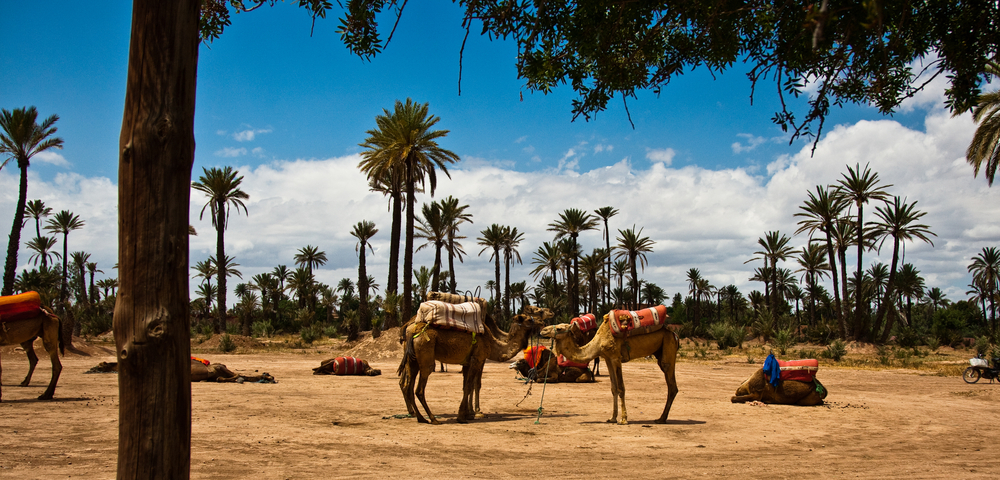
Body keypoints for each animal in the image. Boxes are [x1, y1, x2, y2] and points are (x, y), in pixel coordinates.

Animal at [540, 306, 680, 426]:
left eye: (559, 328)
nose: (543, 330)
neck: (598, 342)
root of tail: (674, 334)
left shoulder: (616, 358)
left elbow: (621, 388)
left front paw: (623, 419)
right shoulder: (607, 358)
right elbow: (613, 388)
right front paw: (612, 418)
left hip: (668, 345)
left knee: (671, 384)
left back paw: (661, 419)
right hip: (660, 351)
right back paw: (661, 418)